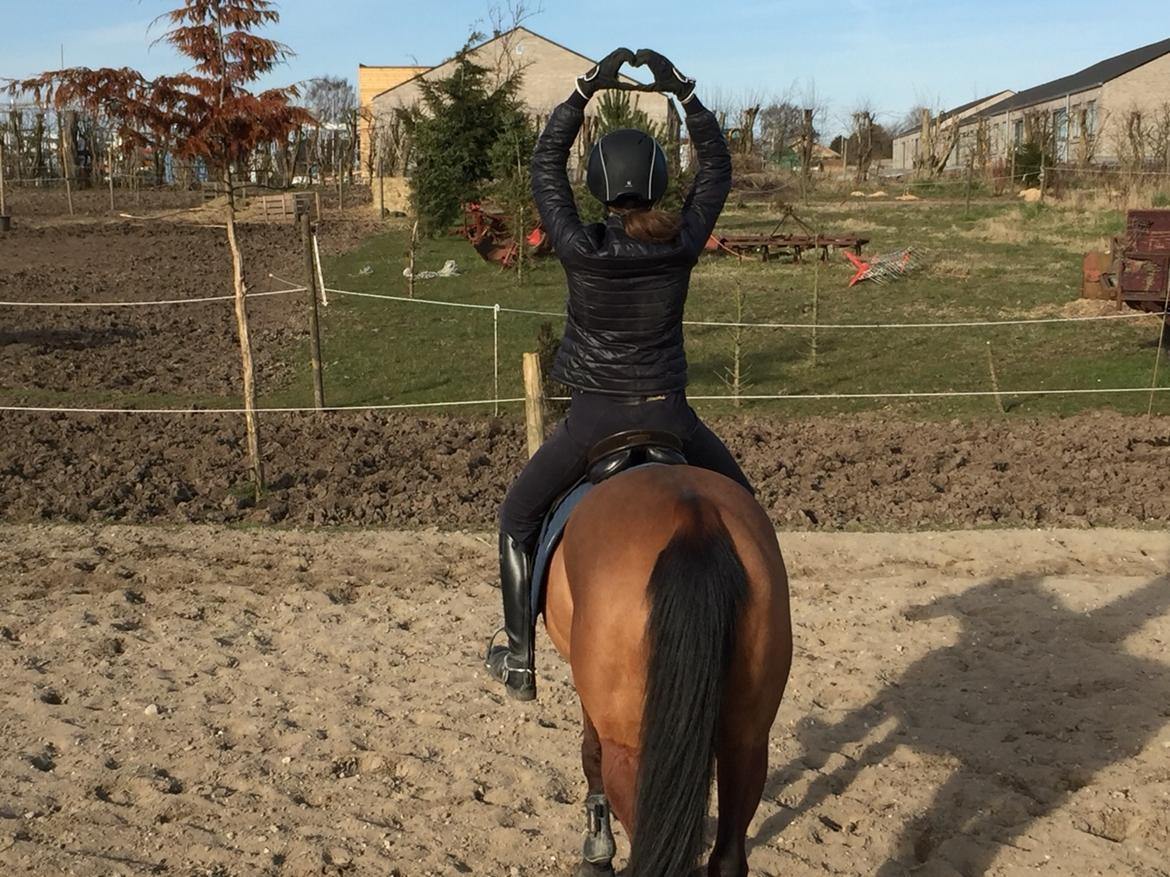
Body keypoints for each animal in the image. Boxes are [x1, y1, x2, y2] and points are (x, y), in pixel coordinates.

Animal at [541, 462, 792, 876]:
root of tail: (693, 517)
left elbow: (590, 753)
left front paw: (597, 854)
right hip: (748, 741)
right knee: (728, 857)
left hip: (630, 751)